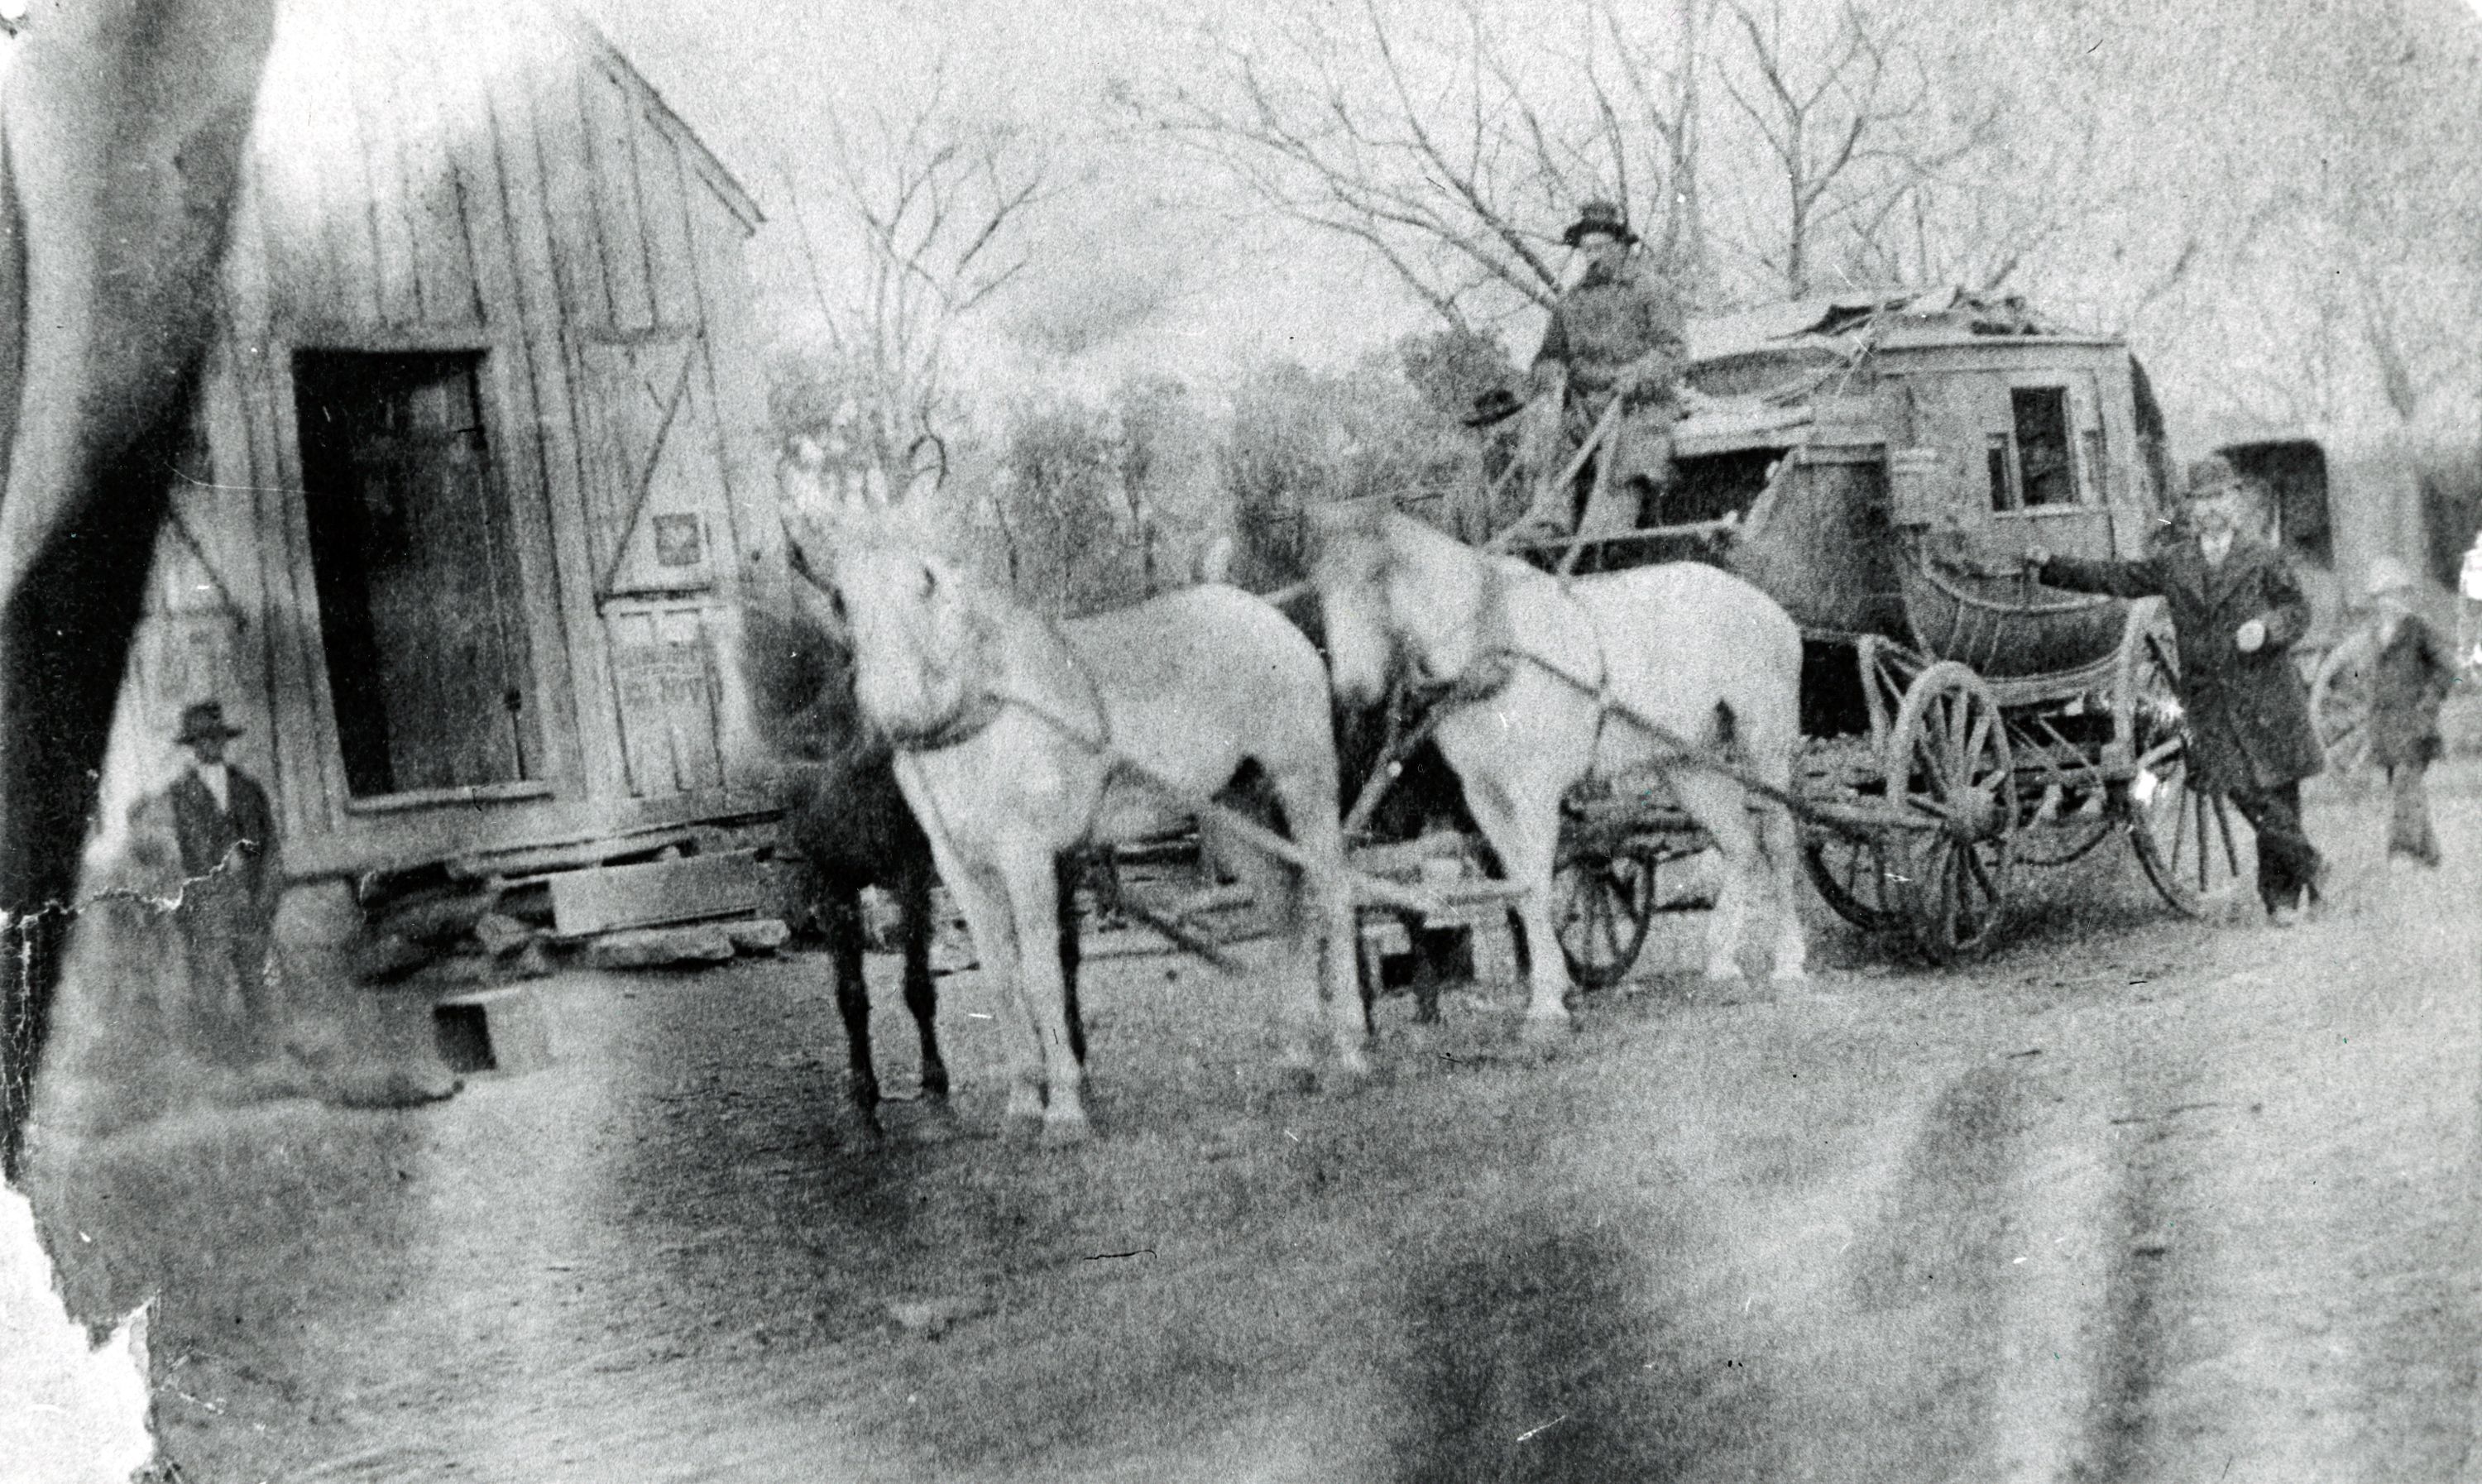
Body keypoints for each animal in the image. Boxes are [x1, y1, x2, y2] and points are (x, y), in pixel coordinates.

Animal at [784, 484, 1370, 1147]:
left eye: (928, 580)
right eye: (840, 598)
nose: (900, 711)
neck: (985, 719)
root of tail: (1264, 613)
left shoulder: (1028, 857)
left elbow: (1041, 975)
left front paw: (1063, 1111)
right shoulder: (958, 870)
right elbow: (1002, 980)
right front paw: (1021, 1106)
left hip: (1303, 785)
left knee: (1332, 895)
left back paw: (1351, 1056)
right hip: (1231, 807)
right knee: (1284, 906)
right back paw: (1298, 1060)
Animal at [1320, 501, 1807, 1037]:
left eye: (1373, 578)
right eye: (1320, 587)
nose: (1352, 690)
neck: (1492, 645)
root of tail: (1764, 605)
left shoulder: (1535, 791)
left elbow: (1536, 882)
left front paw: (1548, 1005)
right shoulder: (1486, 796)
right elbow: (1521, 886)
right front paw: (1554, 989)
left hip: (1765, 746)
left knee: (1778, 841)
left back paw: (1789, 964)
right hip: (1687, 763)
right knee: (1739, 844)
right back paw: (1721, 963)